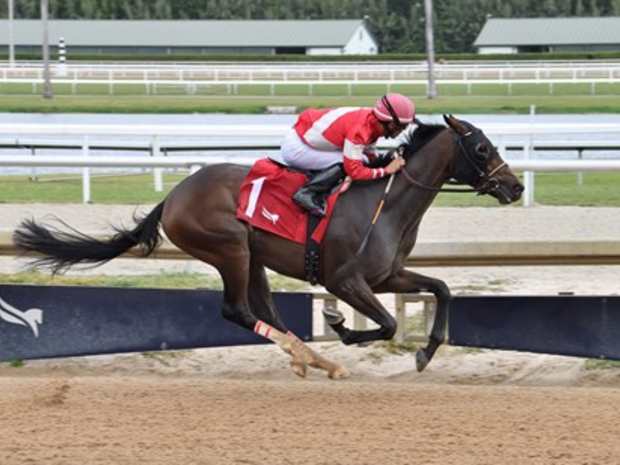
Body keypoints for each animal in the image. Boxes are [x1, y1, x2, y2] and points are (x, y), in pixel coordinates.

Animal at [13, 115, 524, 376]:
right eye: (482, 148)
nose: (515, 187)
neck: (386, 201)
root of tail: (174, 195)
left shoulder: (387, 274)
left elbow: (440, 289)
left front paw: (427, 351)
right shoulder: (345, 279)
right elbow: (386, 324)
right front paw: (340, 326)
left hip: (252, 258)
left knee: (267, 313)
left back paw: (312, 359)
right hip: (231, 249)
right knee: (237, 311)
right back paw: (311, 356)